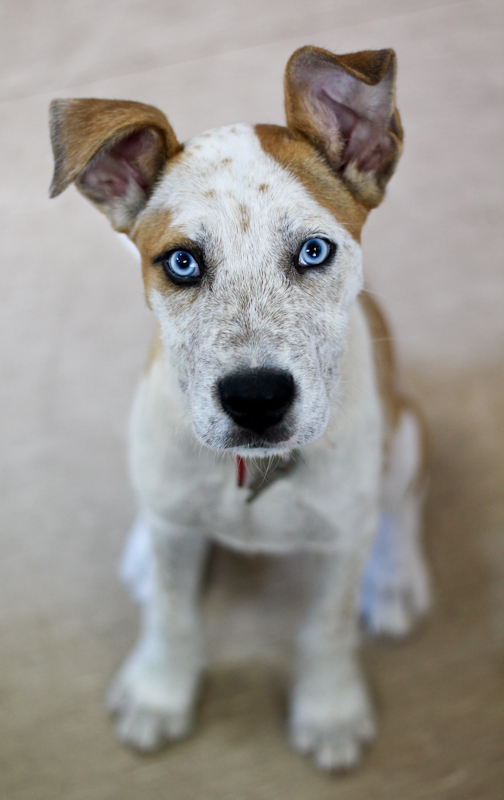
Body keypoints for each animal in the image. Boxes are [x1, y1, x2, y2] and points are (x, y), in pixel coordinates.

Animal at [49, 46, 431, 771]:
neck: (254, 474)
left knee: (400, 503)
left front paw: (330, 710)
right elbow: (173, 614)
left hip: (404, 437)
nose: (257, 400)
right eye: (181, 262)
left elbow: (326, 628)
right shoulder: (177, 528)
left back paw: (396, 578)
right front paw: (160, 693)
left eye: (314, 250)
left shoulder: (341, 541)